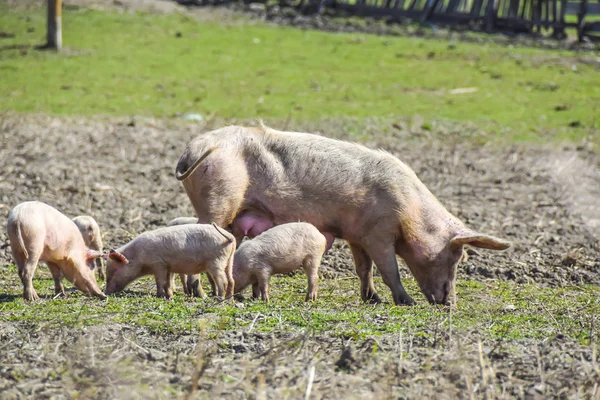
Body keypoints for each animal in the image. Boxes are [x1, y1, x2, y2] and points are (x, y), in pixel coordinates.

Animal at [175, 123, 510, 304]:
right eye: (455, 257)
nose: (449, 304)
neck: (410, 211)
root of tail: (191, 151)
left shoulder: (356, 235)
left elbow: (365, 269)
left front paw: (372, 299)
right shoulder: (378, 233)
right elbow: (389, 269)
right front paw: (406, 302)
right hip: (218, 200)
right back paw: (199, 294)